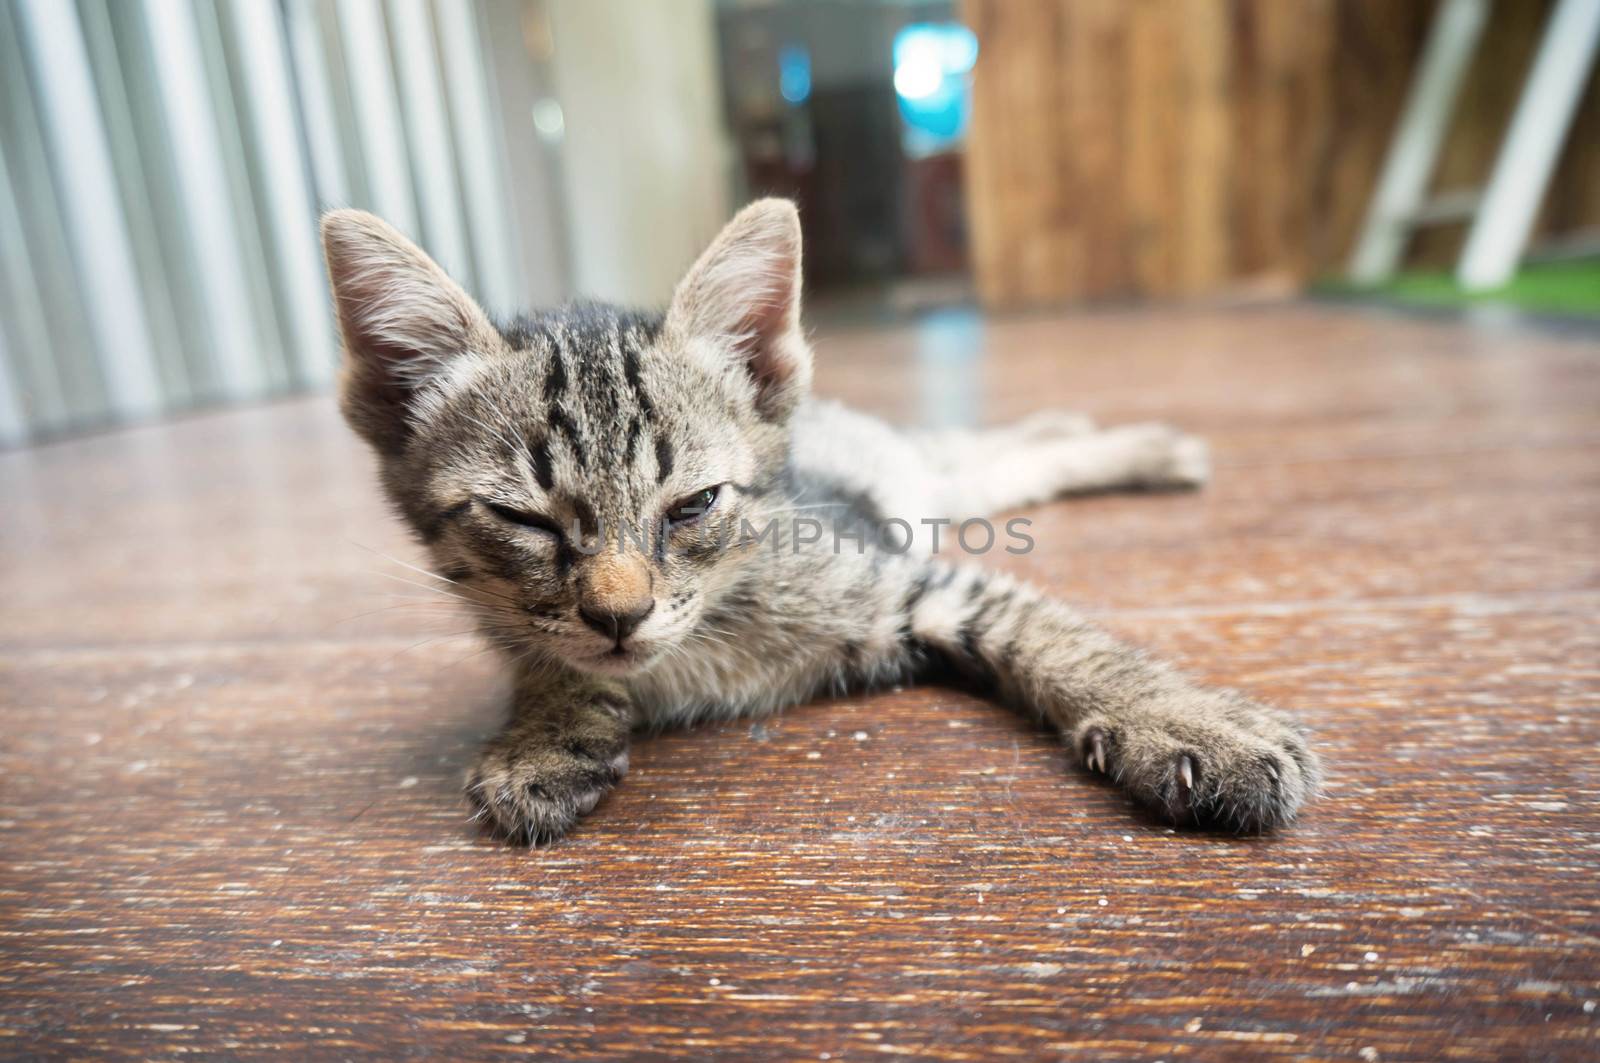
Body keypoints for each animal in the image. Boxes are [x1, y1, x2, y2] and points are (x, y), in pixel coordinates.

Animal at [321, 201, 1312, 845]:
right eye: (518, 517)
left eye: (694, 504)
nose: (619, 614)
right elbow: (543, 653)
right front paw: (544, 729)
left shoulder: (906, 577)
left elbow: (1057, 635)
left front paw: (1188, 724)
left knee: (987, 453)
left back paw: (1143, 447)